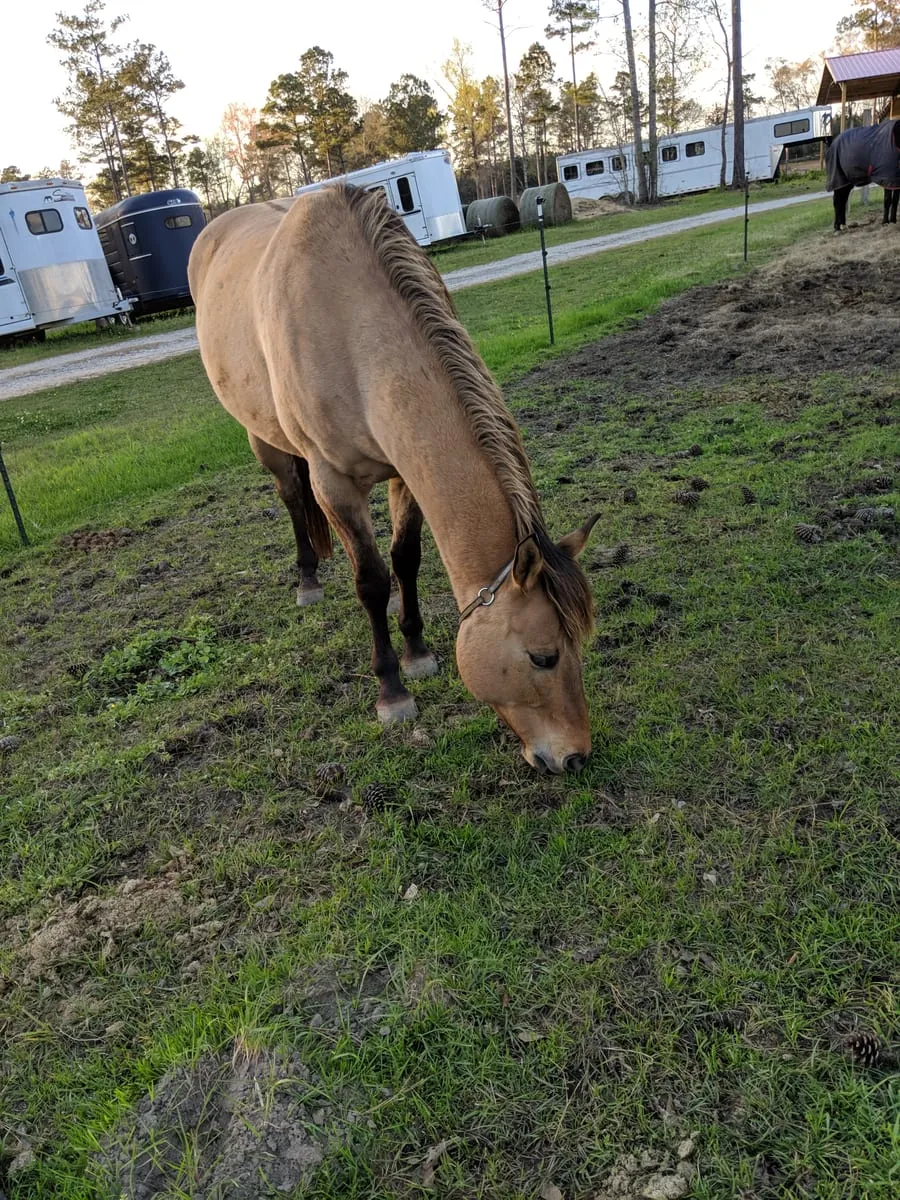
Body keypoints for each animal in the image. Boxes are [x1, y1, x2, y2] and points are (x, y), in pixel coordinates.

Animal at [188, 185, 599, 775]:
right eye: (543, 657)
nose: (576, 757)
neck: (352, 327)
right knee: (291, 499)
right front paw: (392, 691)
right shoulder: (335, 483)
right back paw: (308, 581)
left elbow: (406, 559)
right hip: (263, 439)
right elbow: (372, 581)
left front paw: (419, 654)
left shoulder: (406, 471)